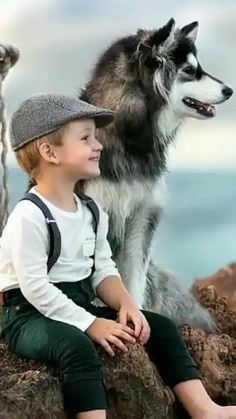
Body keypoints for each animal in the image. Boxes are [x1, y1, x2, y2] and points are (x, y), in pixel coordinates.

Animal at [79, 18, 232, 334]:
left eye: (198, 66)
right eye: (189, 70)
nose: (229, 90)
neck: (130, 138)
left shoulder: (143, 214)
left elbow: (133, 280)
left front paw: (138, 317)